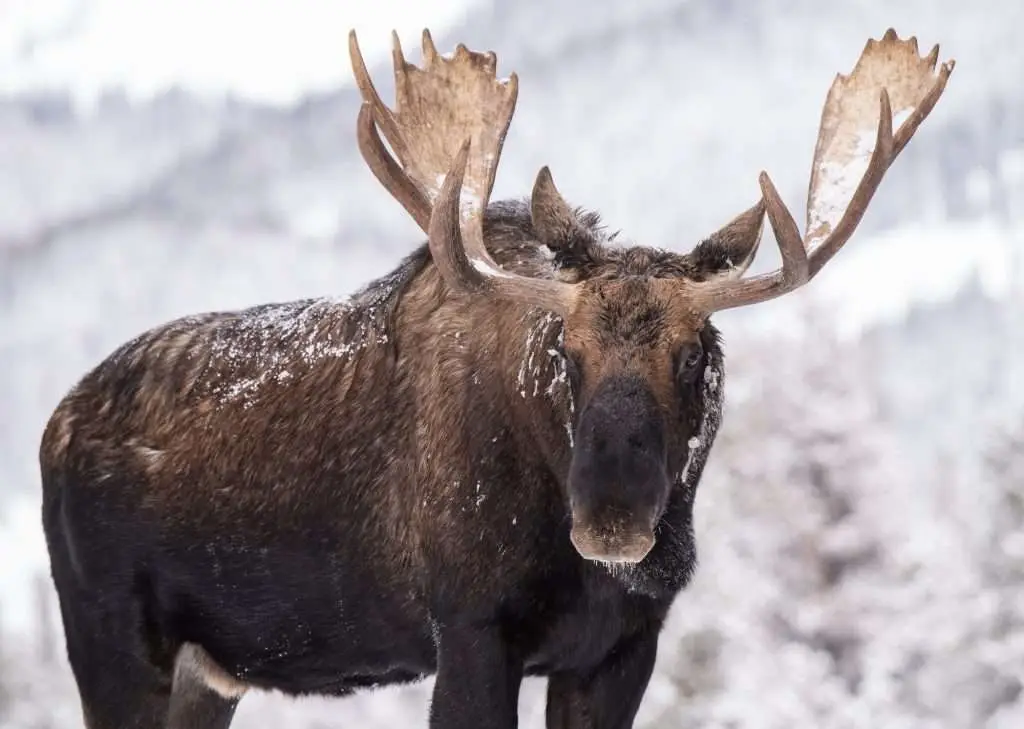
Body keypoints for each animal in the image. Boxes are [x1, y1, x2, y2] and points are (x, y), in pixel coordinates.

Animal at [37, 24, 950, 729]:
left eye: (693, 352)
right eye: (567, 352)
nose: (612, 519)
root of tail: (54, 424)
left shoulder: (621, 647)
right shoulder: (472, 628)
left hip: (208, 671)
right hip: (113, 641)